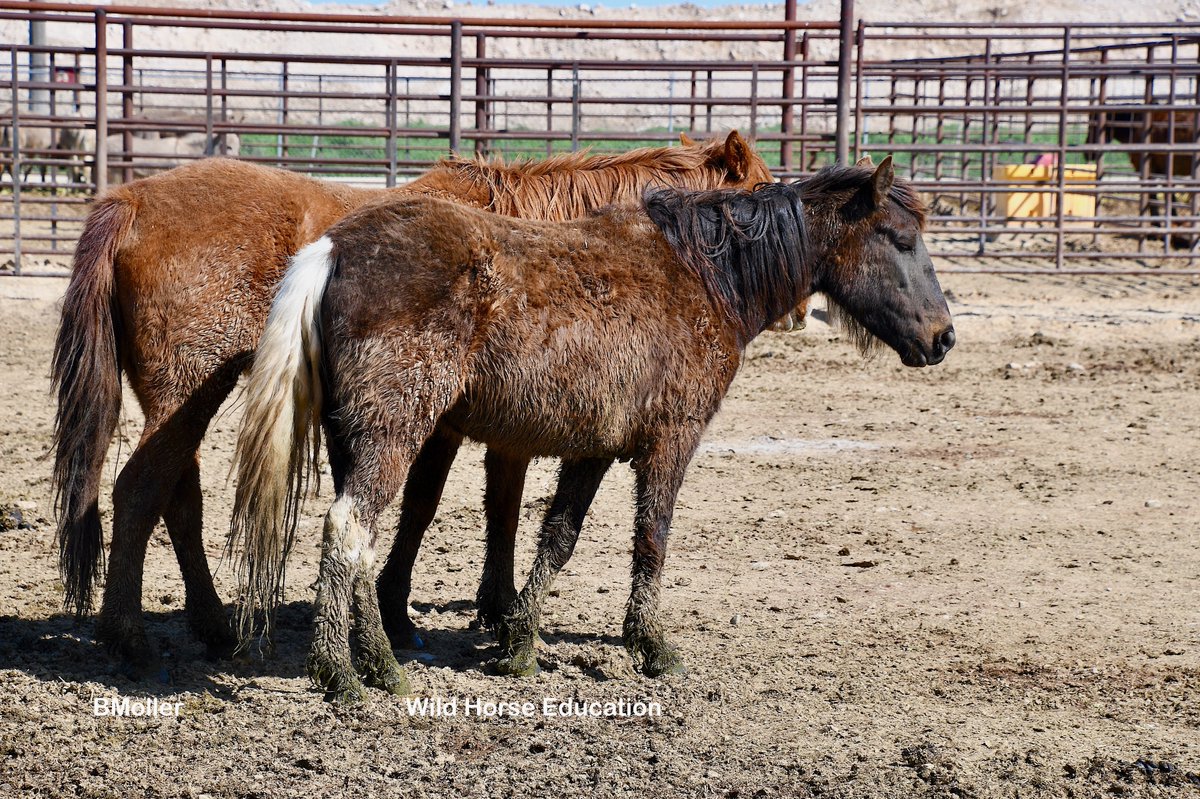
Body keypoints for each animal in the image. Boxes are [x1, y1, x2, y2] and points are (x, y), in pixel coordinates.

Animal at [51, 131, 772, 667]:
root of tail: (130, 200)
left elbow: (493, 510)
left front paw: (485, 607)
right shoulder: (461, 426)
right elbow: (435, 508)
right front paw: (419, 613)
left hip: (182, 401)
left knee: (178, 500)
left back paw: (213, 627)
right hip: (186, 394)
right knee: (140, 491)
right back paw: (129, 636)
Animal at [225, 157, 955, 705]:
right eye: (901, 239)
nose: (943, 337)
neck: (703, 278)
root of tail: (334, 247)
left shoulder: (594, 451)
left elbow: (557, 537)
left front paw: (518, 643)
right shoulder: (670, 443)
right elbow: (652, 539)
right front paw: (651, 645)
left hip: (358, 440)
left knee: (361, 537)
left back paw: (371, 664)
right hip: (392, 434)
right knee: (349, 530)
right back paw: (346, 673)